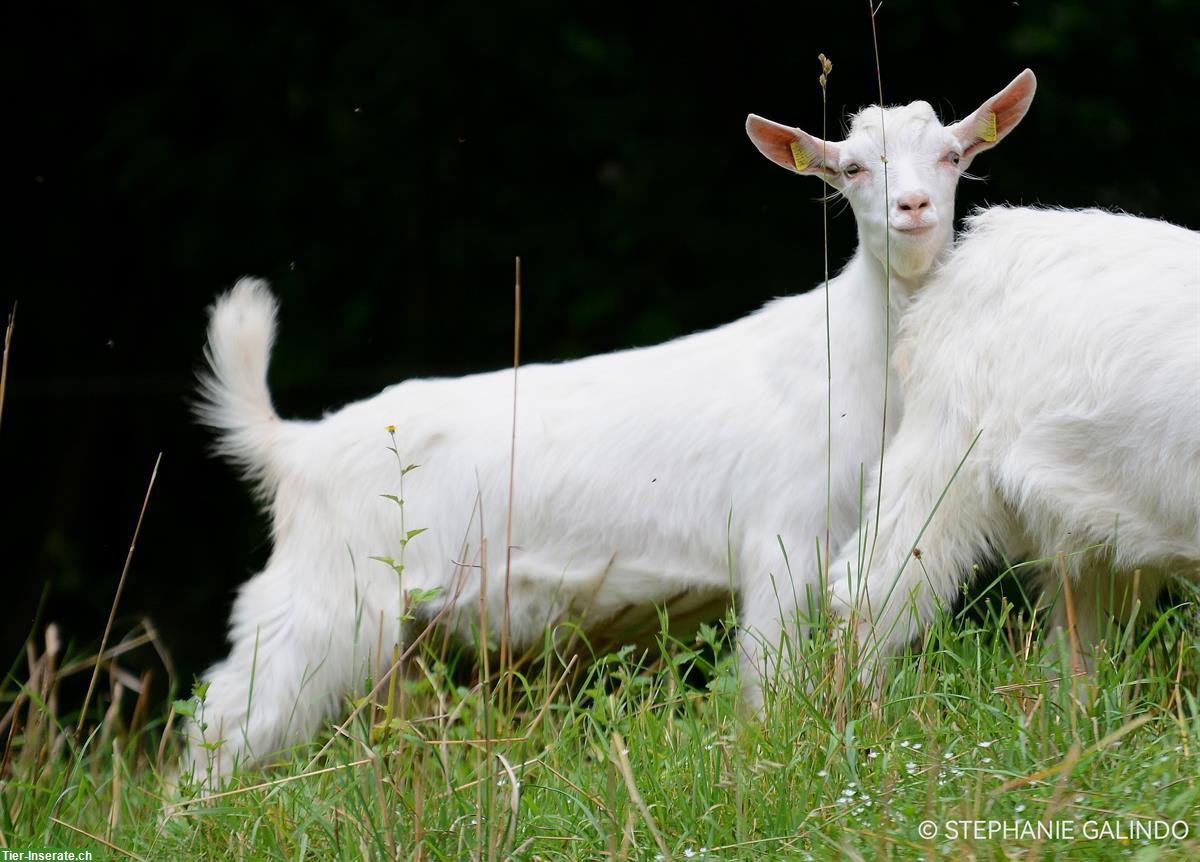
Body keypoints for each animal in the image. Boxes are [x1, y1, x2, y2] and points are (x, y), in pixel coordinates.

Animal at [184, 72, 1032, 782]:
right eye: (851, 168)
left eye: (952, 155)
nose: (913, 210)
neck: (853, 355)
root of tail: (296, 446)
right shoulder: (783, 542)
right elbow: (771, 683)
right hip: (325, 597)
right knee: (225, 719)